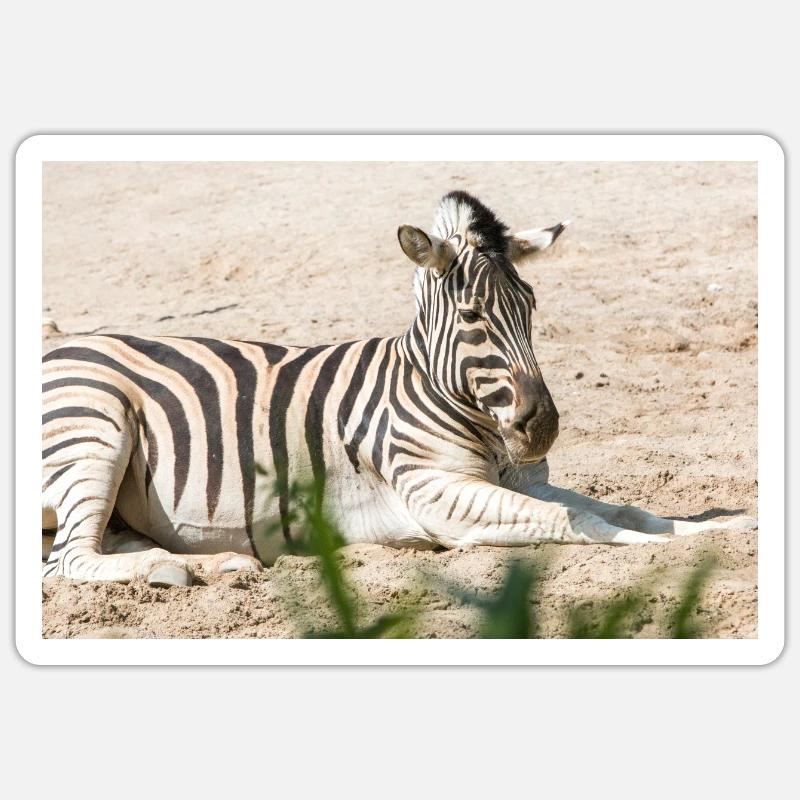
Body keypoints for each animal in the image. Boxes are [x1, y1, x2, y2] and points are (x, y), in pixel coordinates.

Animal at [41, 190, 755, 587]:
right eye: (472, 316)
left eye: (531, 304)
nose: (542, 427)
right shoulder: (435, 492)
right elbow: (579, 521)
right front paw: (660, 550)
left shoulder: (517, 481)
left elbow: (626, 508)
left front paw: (716, 526)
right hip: (95, 425)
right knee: (70, 561)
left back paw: (202, 566)